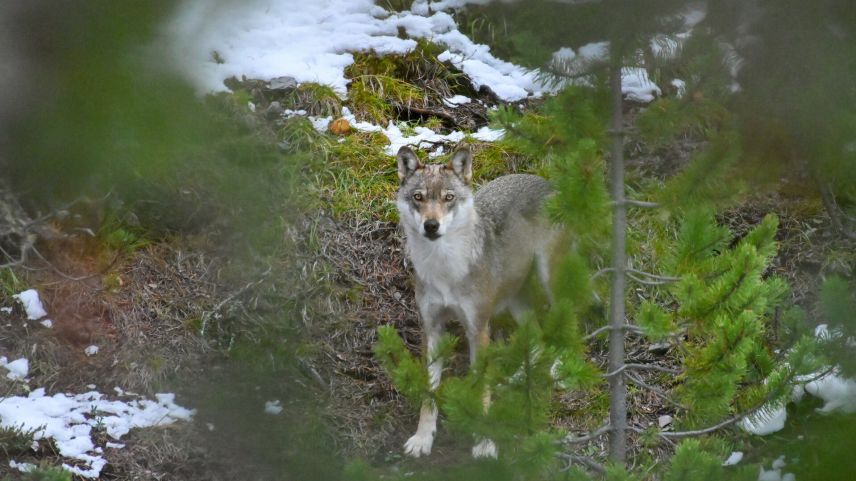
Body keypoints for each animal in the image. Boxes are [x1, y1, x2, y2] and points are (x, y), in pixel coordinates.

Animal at [392, 143, 560, 458]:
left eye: (448, 198)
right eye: (419, 197)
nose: (431, 226)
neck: (444, 268)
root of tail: (546, 182)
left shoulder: (478, 329)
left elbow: (481, 389)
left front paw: (484, 443)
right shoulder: (432, 329)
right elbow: (428, 393)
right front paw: (423, 438)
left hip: (549, 281)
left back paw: (560, 368)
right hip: (515, 301)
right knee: (538, 337)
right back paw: (517, 377)